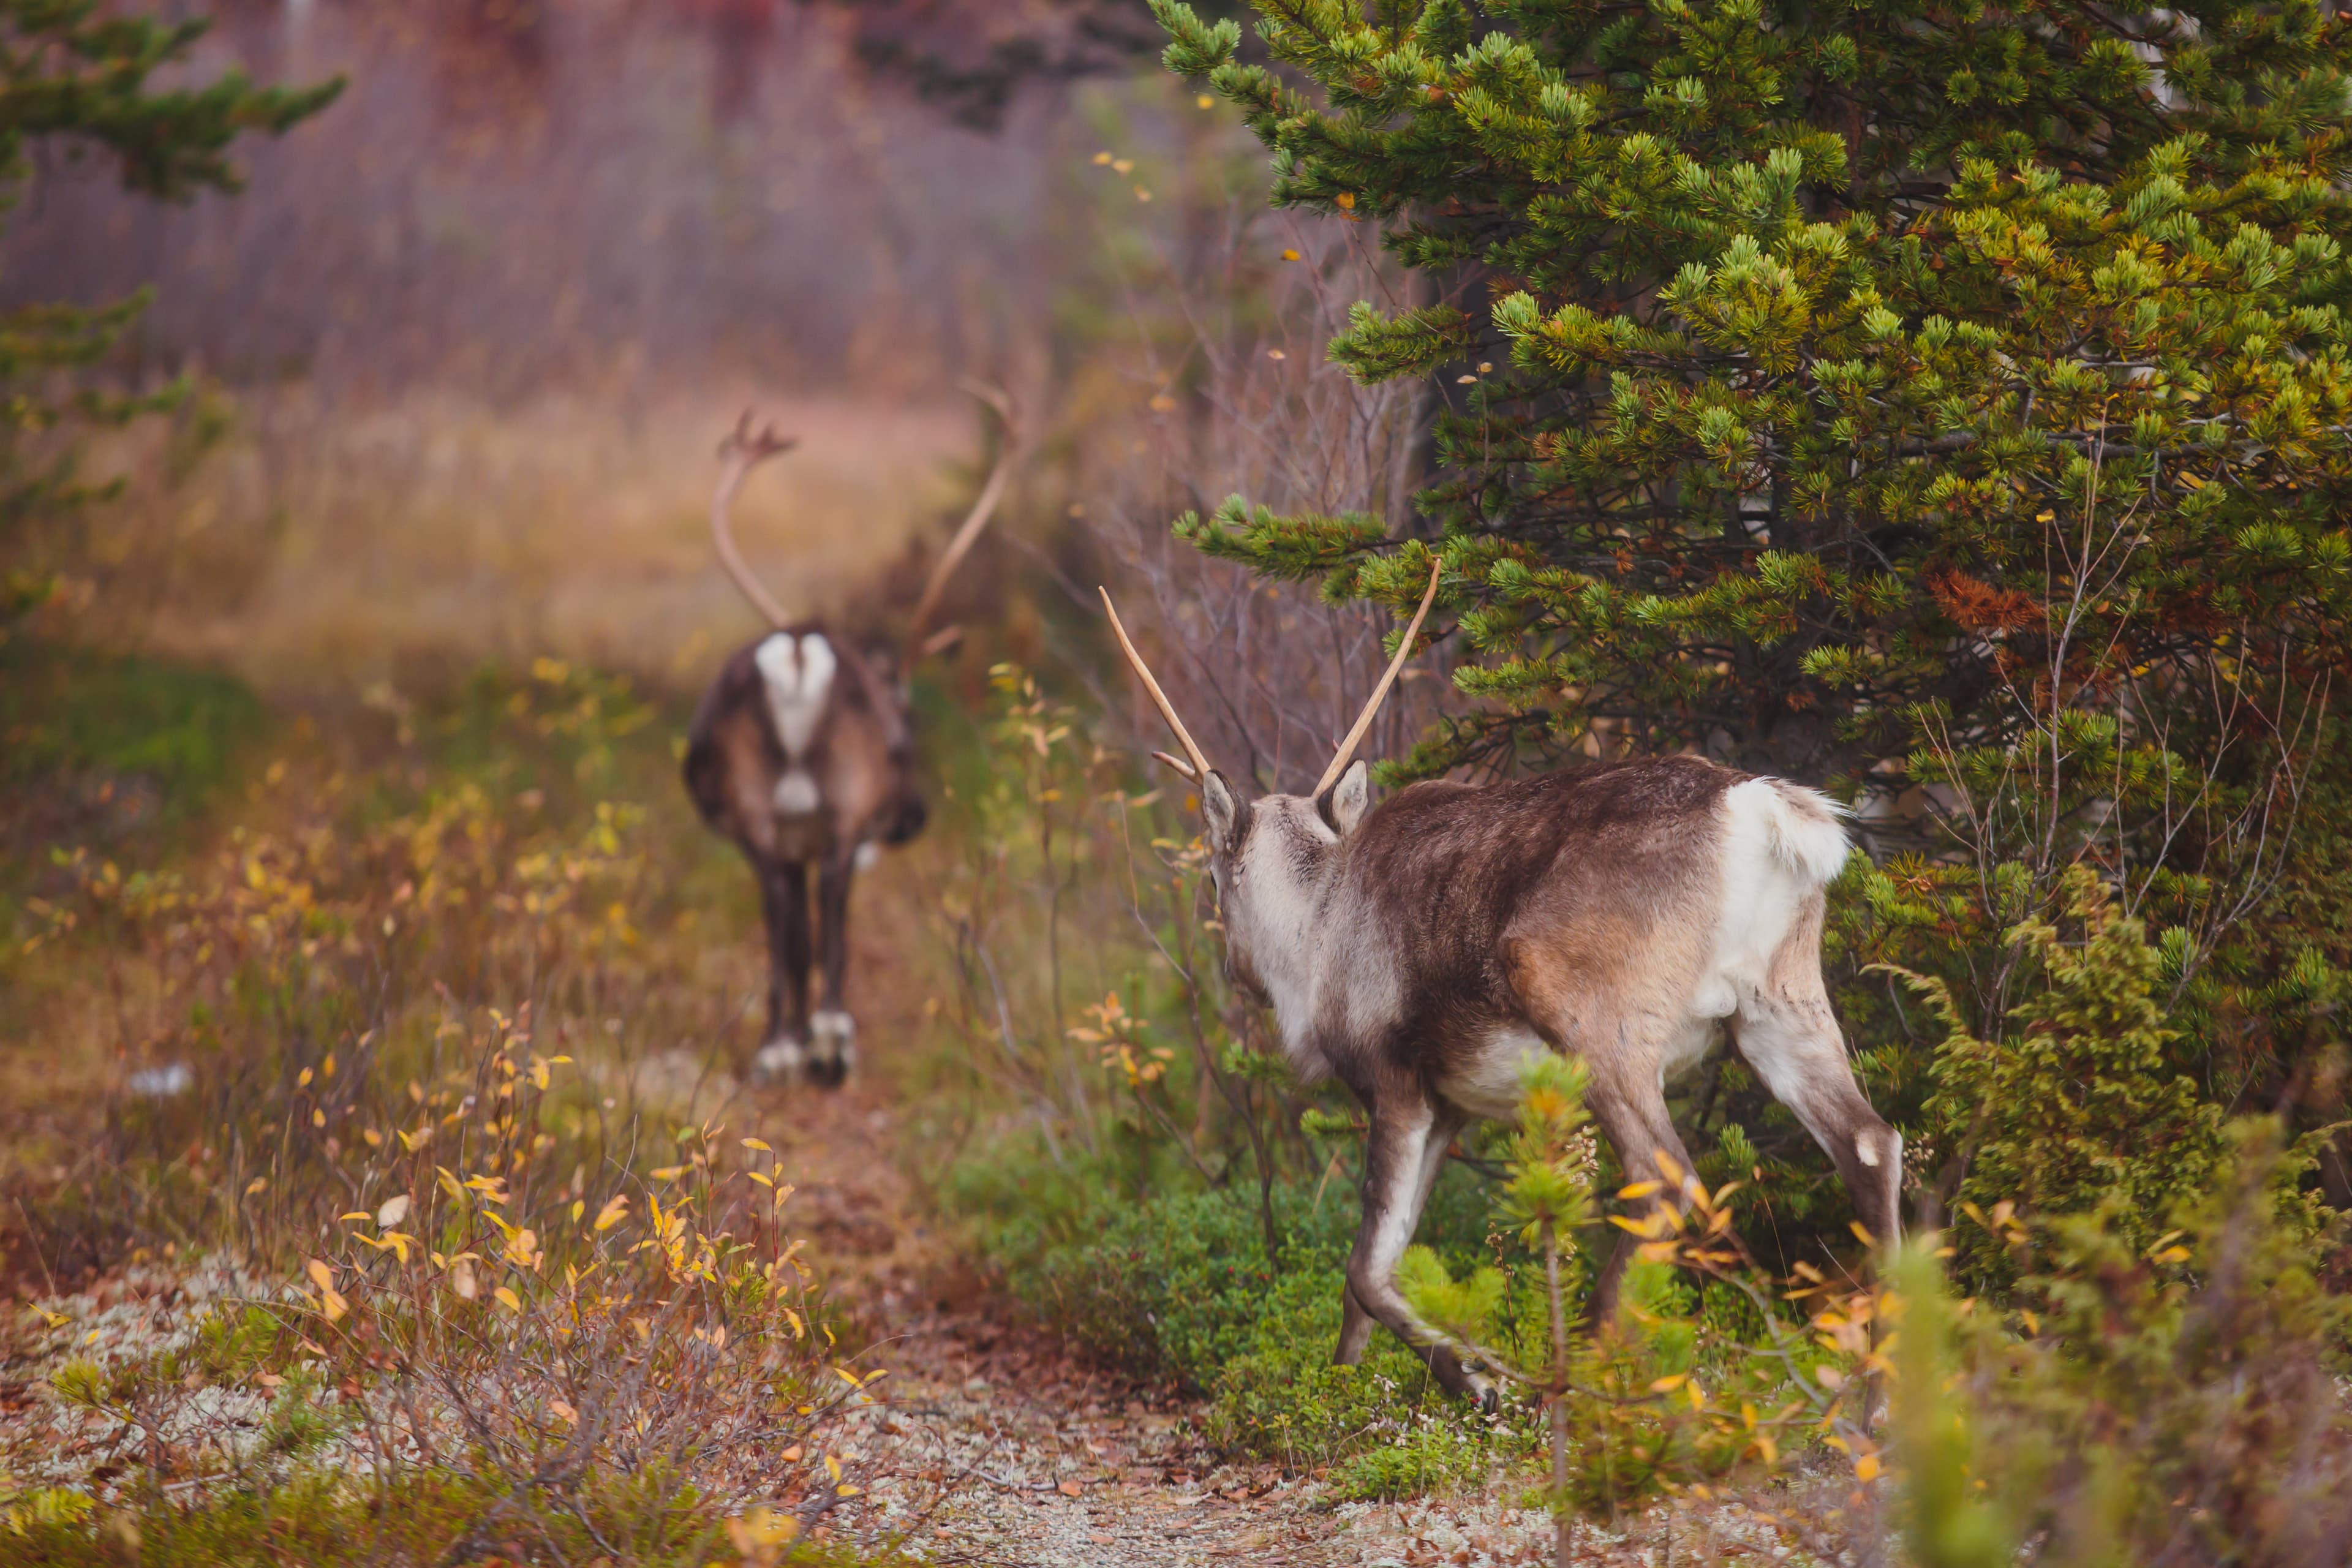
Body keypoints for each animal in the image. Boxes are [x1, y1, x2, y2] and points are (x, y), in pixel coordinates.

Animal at [686, 384, 1020, 1087]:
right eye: (908, 730)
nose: (915, 817)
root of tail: (796, 648)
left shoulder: (790, 840)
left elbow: (794, 940)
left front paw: (788, 1040)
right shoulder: (828, 831)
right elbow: (816, 933)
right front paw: (815, 1040)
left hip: (759, 819)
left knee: (783, 919)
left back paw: (778, 1049)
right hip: (842, 815)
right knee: (831, 913)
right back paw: (831, 1042)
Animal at [1100, 560, 1901, 1405]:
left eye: (1214, 878)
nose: (1232, 966)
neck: (1314, 927)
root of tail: (1760, 811)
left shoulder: (1393, 1082)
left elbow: (1366, 1271)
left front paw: (1476, 1380)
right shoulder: (1450, 1106)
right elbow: (1371, 1277)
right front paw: (1345, 1388)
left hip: (1590, 1017)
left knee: (1666, 1177)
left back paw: (1570, 1383)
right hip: (1779, 1003)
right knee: (1871, 1144)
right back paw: (1877, 1399)